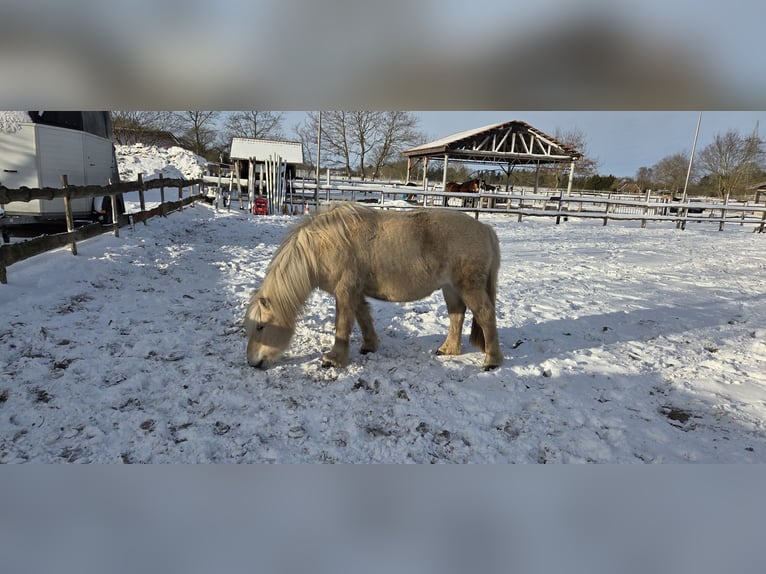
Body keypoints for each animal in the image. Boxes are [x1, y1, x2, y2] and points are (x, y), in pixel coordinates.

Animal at [244, 203, 503, 371]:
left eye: (260, 326)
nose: (252, 362)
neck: (323, 245)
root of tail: (486, 229)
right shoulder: (355, 292)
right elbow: (363, 318)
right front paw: (369, 346)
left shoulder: (345, 292)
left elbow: (342, 325)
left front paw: (334, 359)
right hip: (451, 289)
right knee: (456, 315)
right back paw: (448, 349)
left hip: (469, 287)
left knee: (485, 314)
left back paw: (491, 361)